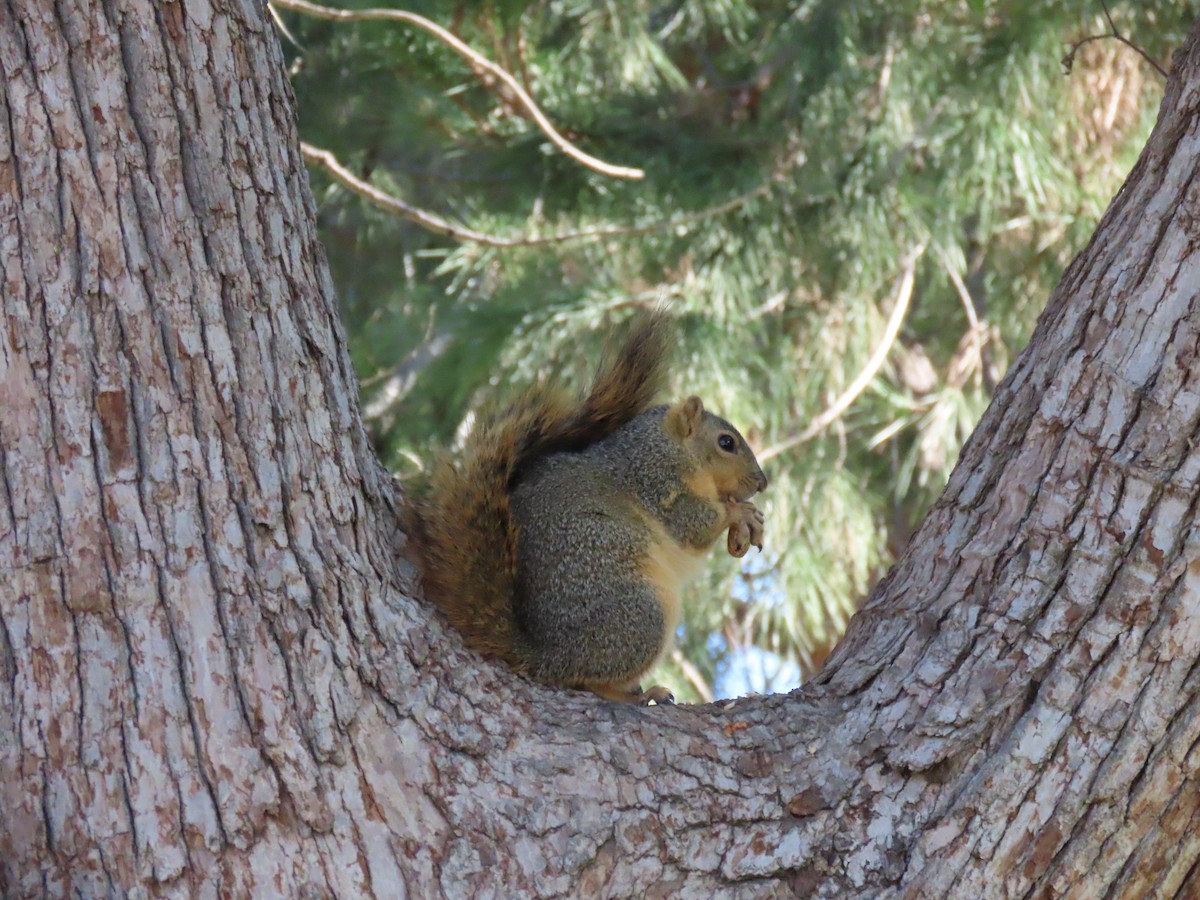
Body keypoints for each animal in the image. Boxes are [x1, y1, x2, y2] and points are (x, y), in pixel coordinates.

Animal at [406, 313, 767, 705]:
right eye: (726, 443)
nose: (762, 483)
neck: (665, 447)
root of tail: (549, 657)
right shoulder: (655, 482)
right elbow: (692, 524)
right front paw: (740, 513)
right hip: (642, 614)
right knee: (588, 679)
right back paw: (635, 695)